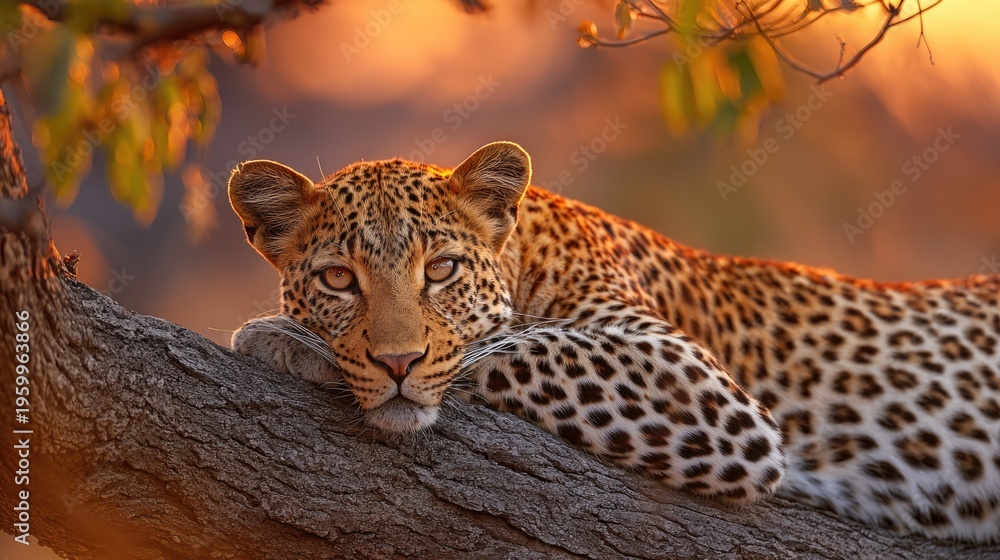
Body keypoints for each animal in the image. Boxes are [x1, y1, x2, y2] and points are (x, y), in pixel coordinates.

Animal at [228, 141, 1000, 544]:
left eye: (441, 269)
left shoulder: (706, 391)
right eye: (338, 278)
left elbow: (504, 346)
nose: (394, 361)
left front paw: (283, 340)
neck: (532, 247)